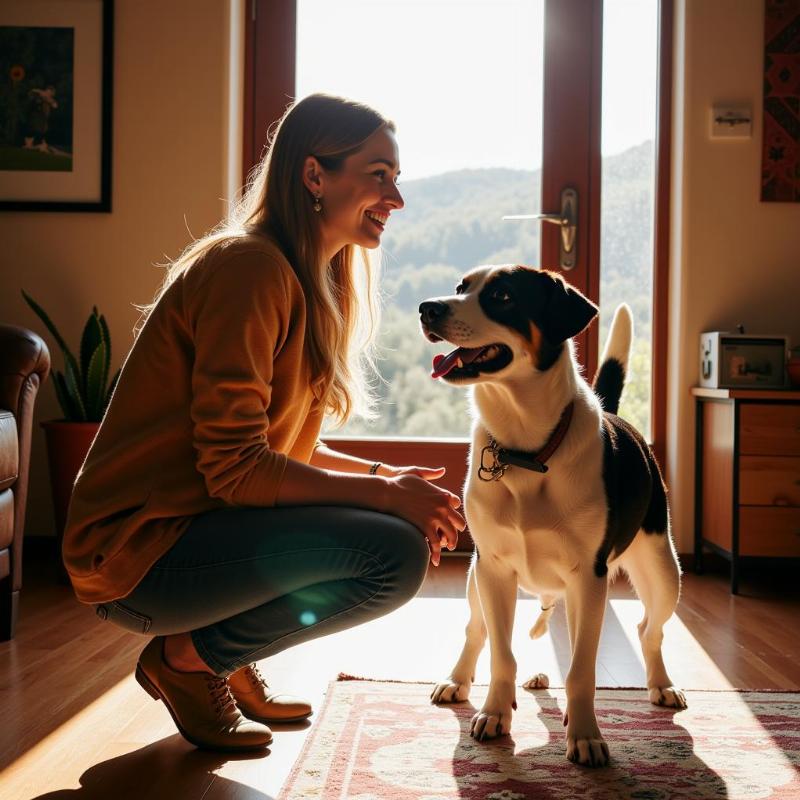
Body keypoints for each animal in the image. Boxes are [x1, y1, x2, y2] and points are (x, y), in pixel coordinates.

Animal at [418, 268, 688, 768]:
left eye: (502, 296)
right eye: (461, 287)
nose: (428, 308)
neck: (525, 451)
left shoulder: (589, 577)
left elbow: (582, 668)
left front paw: (585, 735)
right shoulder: (493, 569)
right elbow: (501, 653)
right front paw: (494, 713)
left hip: (662, 571)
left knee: (648, 629)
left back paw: (660, 684)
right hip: (475, 579)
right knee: (476, 629)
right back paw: (461, 679)